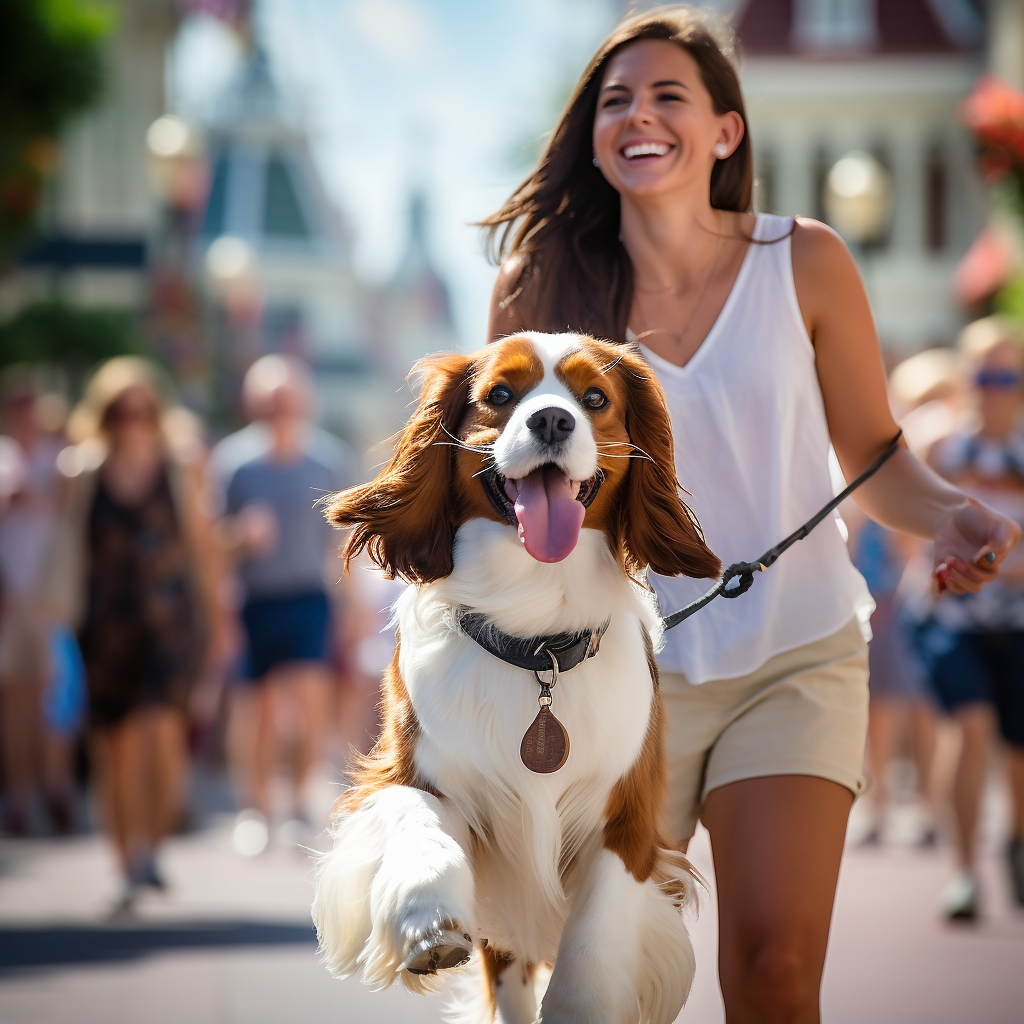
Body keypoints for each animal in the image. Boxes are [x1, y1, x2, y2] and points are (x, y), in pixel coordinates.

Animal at [311, 331, 720, 1019]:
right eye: (500, 394)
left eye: (594, 398)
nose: (552, 419)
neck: (537, 641)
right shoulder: (407, 767)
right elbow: (416, 820)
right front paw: (427, 921)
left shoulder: (629, 824)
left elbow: (593, 946)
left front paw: (579, 1005)